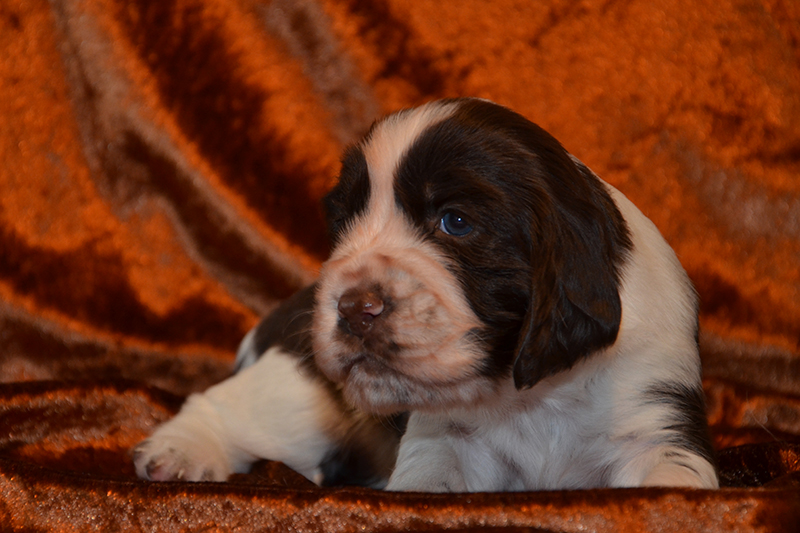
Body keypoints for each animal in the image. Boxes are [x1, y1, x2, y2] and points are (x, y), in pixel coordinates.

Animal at [131, 96, 720, 490]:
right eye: (344, 222)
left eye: (455, 221)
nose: (353, 308)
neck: (528, 393)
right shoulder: (442, 441)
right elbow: (426, 483)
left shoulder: (655, 419)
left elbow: (671, 483)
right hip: (297, 394)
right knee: (228, 405)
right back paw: (180, 450)